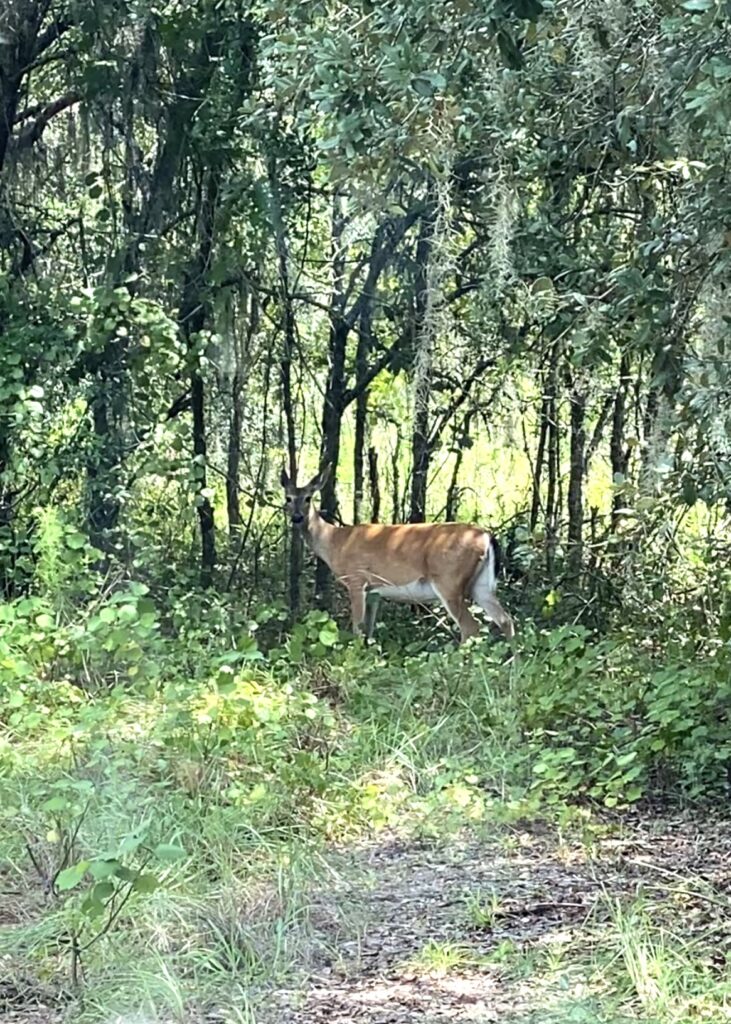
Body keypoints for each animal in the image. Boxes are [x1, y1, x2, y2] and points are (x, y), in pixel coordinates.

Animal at [278, 462, 511, 638]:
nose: (297, 517)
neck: (335, 542)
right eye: (288, 498)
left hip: (449, 580)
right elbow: (369, 631)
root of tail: (486, 536)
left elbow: (357, 629)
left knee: (471, 627)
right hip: (481, 584)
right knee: (505, 620)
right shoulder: (374, 592)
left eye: (308, 498)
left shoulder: (356, 579)